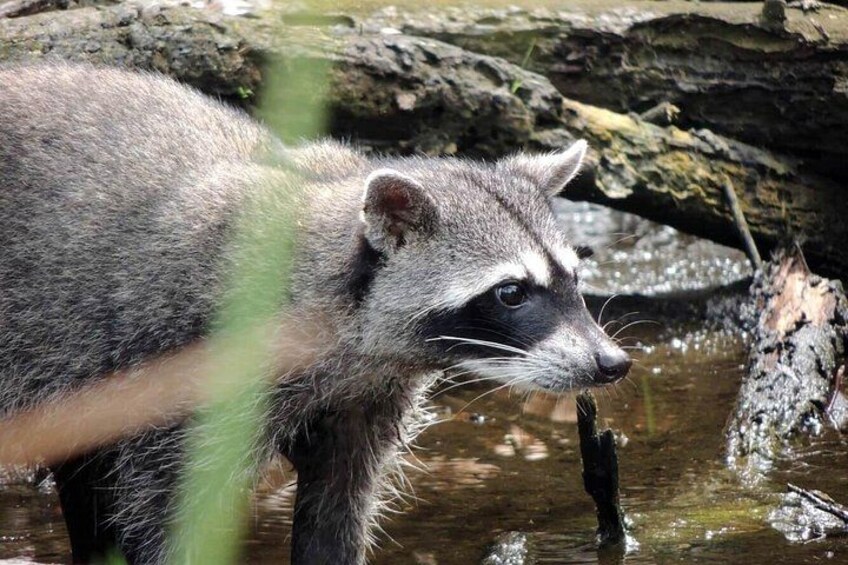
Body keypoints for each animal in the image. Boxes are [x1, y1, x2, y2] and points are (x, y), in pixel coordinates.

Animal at [0, 62, 630, 564]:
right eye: (511, 293)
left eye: (574, 279)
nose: (613, 363)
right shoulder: (182, 367)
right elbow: (165, 509)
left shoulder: (367, 396)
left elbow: (339, 504)